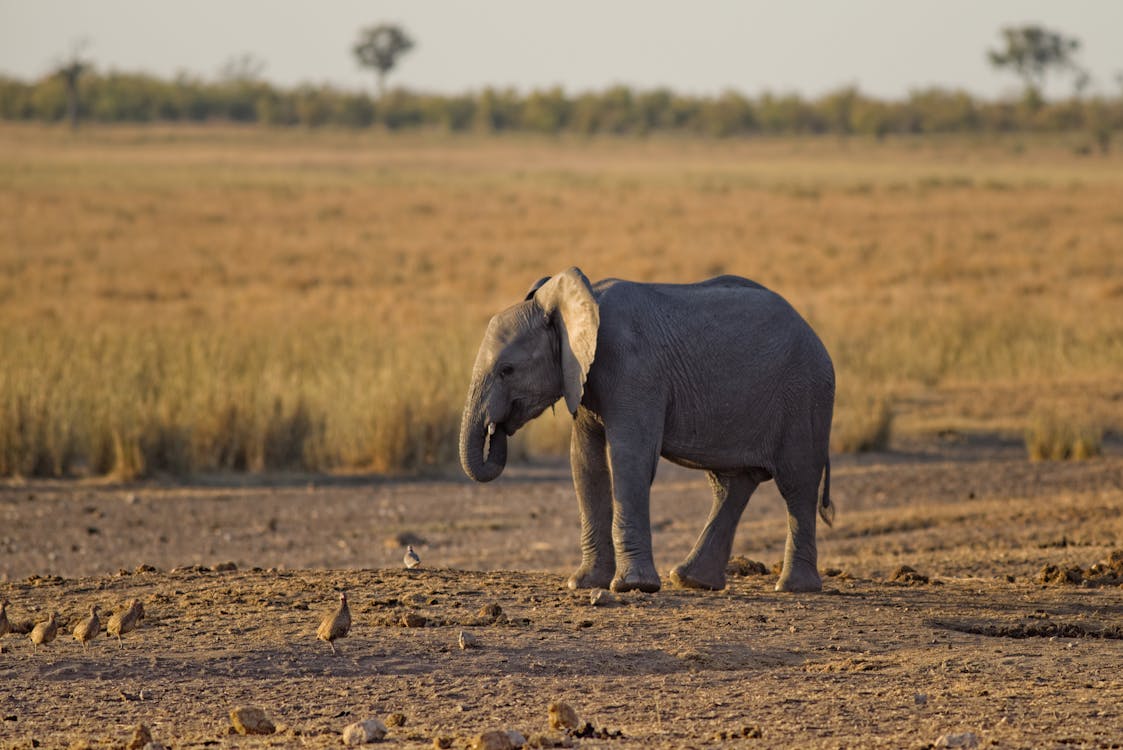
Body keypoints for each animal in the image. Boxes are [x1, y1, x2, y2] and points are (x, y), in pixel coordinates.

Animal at [455, 266, 835, 592]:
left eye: (507, 370)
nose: (496, 429)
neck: (572, 302)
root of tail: (816, 337)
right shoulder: (583, 377)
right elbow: (585, 462)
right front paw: (584, 583)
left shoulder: (632, 368)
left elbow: (629, 459)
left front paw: (632, 586)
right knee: (732, 484)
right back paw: (690, 580)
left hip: (805, 395)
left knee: (797, 482)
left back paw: (792, 587)